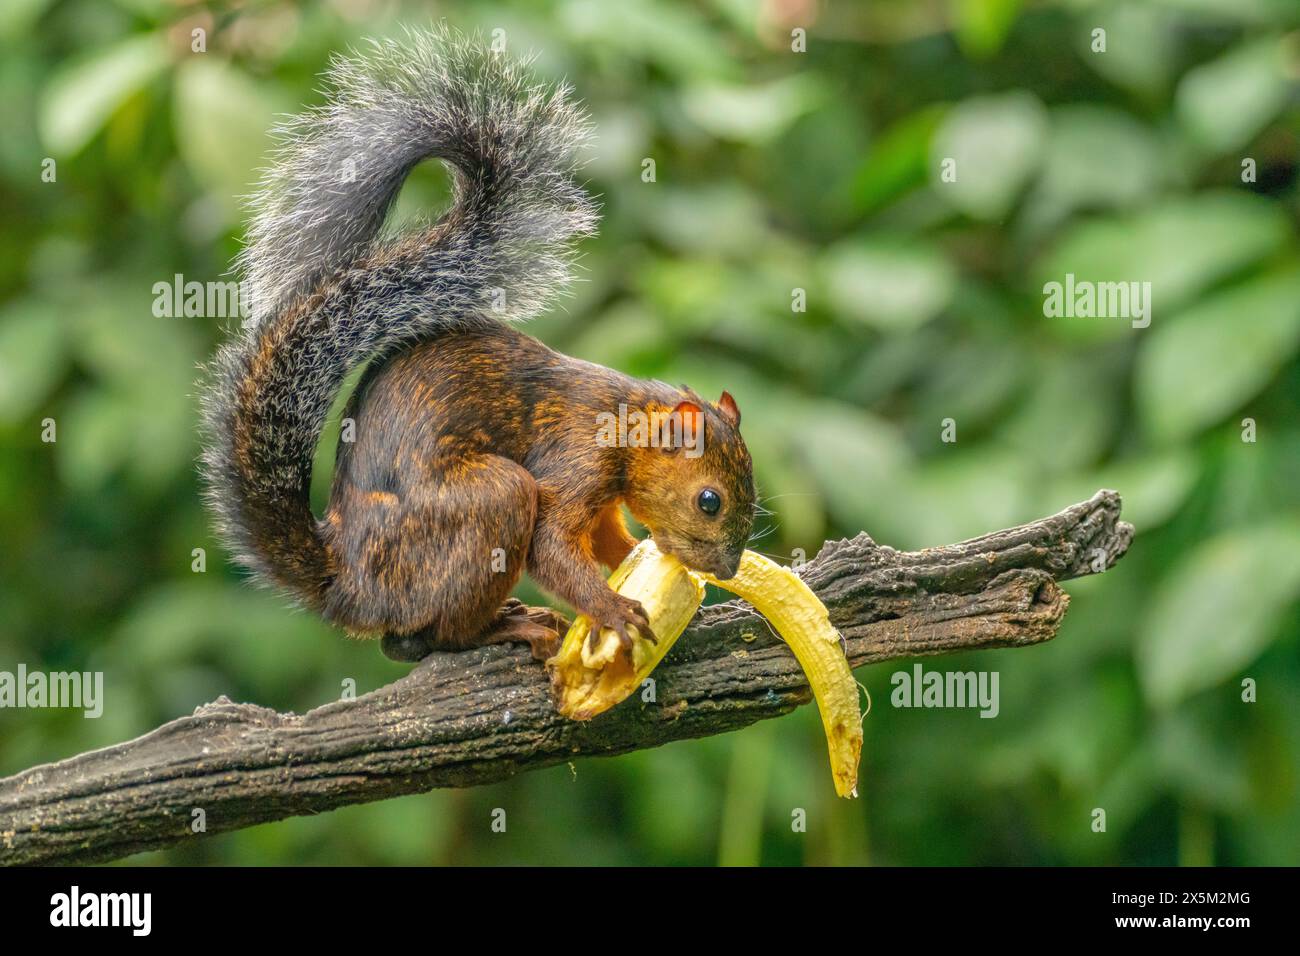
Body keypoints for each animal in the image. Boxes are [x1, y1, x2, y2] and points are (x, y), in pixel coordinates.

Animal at [197, 26, 759, 660]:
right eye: (709, 500)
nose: (728, 570)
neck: (623, 418)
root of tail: (347, 585)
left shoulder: (603, 502)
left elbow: (608, 542)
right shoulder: (574, 458)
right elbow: (551, 546)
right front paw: (612, 607)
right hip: (493, 499)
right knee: (428, 636)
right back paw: (506, 625)